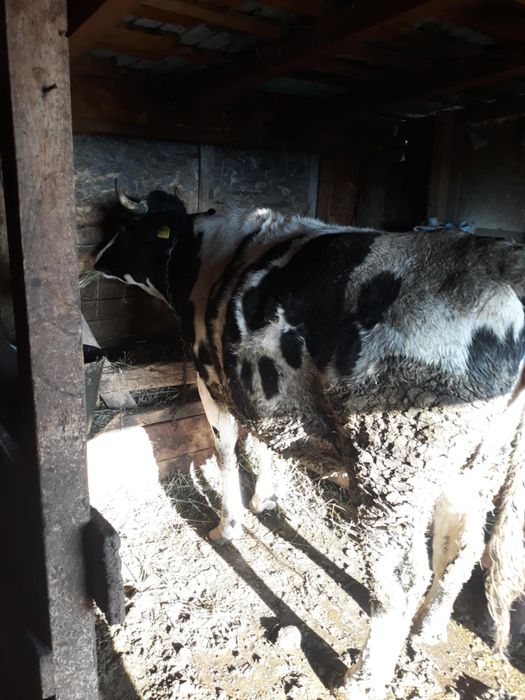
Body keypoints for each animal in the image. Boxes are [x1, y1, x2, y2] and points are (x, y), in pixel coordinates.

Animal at [93, 184, 525, 700]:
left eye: (126, 229)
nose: (93, 257)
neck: (202, 254)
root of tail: (496, 276)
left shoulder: (212, 381)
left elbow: (225, 454)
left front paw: (227, 527)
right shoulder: (261, 390)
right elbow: (263, 446)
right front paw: (266, 500)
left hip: (393, 464)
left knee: (401, 583)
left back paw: (360, 680)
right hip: (476, 462)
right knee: (460, 550)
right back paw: (429, 629)